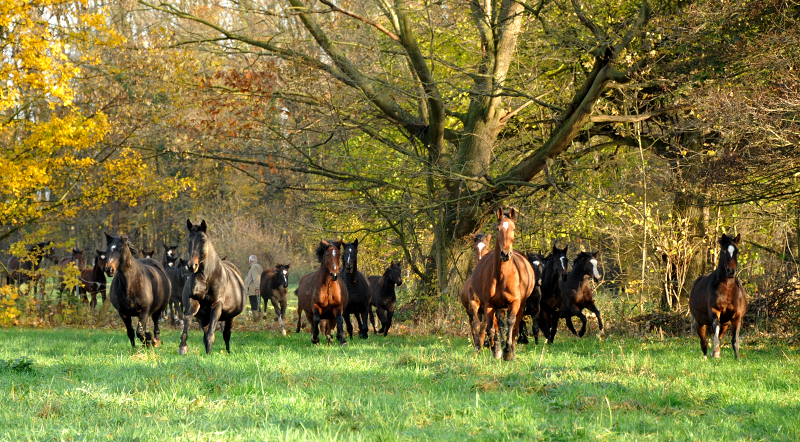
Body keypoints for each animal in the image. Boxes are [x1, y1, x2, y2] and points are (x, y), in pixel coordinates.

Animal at [179, 221, 247, 356]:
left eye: (203, 240)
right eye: (189, 240)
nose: (192, 266)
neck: (208, 277)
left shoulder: (216, 306)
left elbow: (211, 334)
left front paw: (209, 354)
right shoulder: (194, 302)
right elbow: (187, 318)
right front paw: (183, 346)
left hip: (230, 317)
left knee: (226, 334)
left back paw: (228, 352)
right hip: (204, 318)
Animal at [472, 209, 536, 360]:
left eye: (513, 228)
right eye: (498, 228)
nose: (505, 254)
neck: (502, 276)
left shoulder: (515, 302)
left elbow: (511, 322)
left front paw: (508, 352)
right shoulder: (489, 304)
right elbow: (491, 327)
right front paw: (497, 351)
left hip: (521, 304)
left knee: (515, 326)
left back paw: (511, 350)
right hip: (499, 306)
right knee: (498, 324)